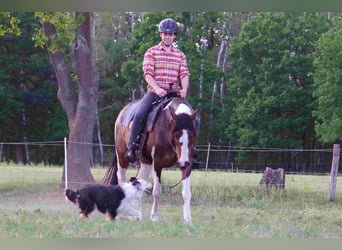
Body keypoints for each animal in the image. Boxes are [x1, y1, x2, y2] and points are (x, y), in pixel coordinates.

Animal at [105, 94, 200, 224]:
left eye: (193, 136)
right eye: (176, 135)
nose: (183, 162)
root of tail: (122, 112)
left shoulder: (188, 164)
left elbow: (186, 193)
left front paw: (188, 219)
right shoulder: (157, 163)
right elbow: (156, 191)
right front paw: (154, 217)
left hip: (146, 162)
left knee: (139, 181)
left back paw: (134, 214)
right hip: (121, 156)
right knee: (121, 177)